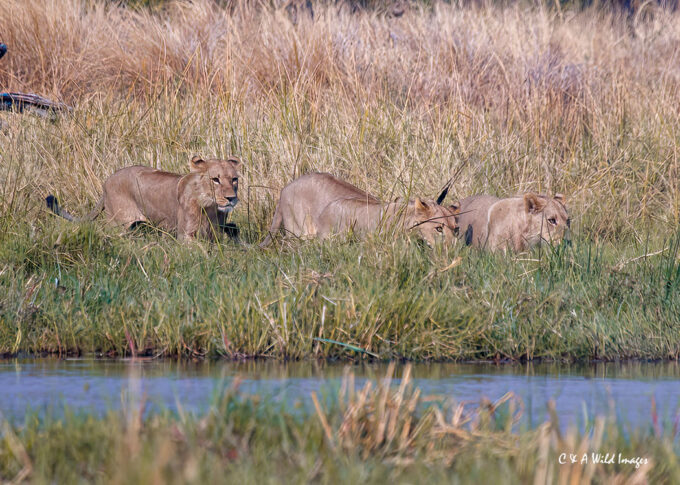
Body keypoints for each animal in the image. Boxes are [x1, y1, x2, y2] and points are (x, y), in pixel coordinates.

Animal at [46, 156, 242, 241]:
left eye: (234, 179)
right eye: (215, 179)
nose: (231, 198)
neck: (210, 207)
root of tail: (107, 181)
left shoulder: (214, 234)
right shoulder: (185, 236)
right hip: (118, 224)